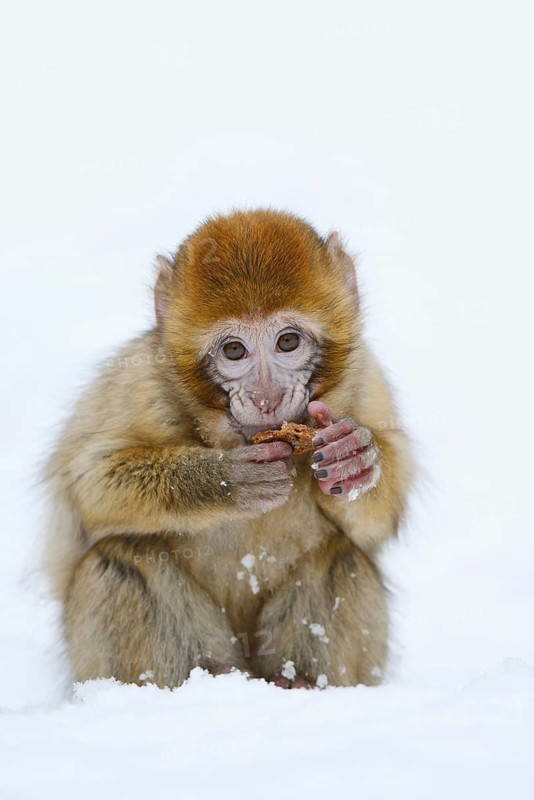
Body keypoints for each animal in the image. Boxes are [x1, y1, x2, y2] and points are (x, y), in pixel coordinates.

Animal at [43, 208, 414, 690]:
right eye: (234, 350)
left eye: (288, 342)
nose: (266, 397)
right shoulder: (141, 381)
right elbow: (89, 483)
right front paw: (225, 479)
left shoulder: (365, 377)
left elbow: (378, 522)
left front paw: (353, 461)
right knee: (118, 559)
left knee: (343, 557)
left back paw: (298, 681)